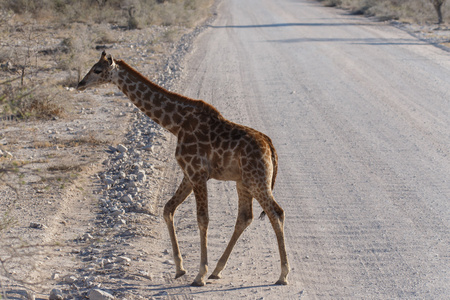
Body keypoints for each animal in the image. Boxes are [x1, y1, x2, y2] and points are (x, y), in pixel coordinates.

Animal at [77, 51, 288, 286]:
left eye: (97, 70)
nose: (80, 84)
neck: (176, 124)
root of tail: (270, 147)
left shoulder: (197, 173)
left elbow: (202, 219)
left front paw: (199, 274)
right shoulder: (188, 174)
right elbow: (168, 209)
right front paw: (180, 269)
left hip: (257, 179)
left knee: (276, 212)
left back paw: (282, 274)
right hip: (243, 181)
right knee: (245, 217)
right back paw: (218, 270)